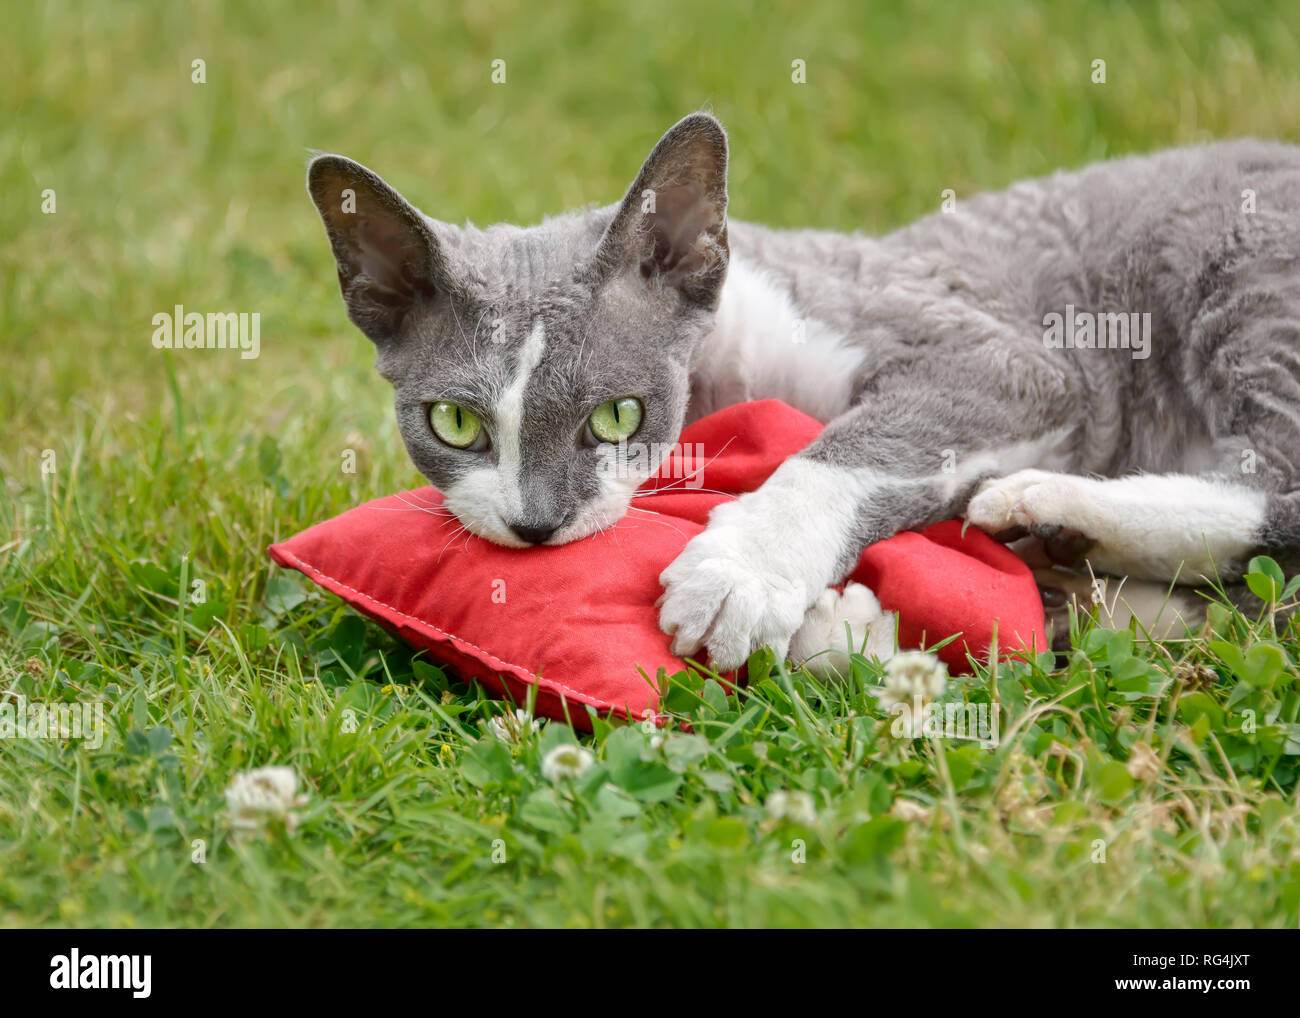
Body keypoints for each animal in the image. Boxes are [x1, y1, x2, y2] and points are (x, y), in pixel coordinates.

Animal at [306, 111, 1300, 670]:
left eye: (617, 416)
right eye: (455, 423)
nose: (535, 524)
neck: (727, 379)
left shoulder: (1007, 359)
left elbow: (849, 451)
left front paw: (742, 574)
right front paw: (848, 628)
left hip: (1238, 264)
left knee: (1278, 479)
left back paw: (1053, 506)